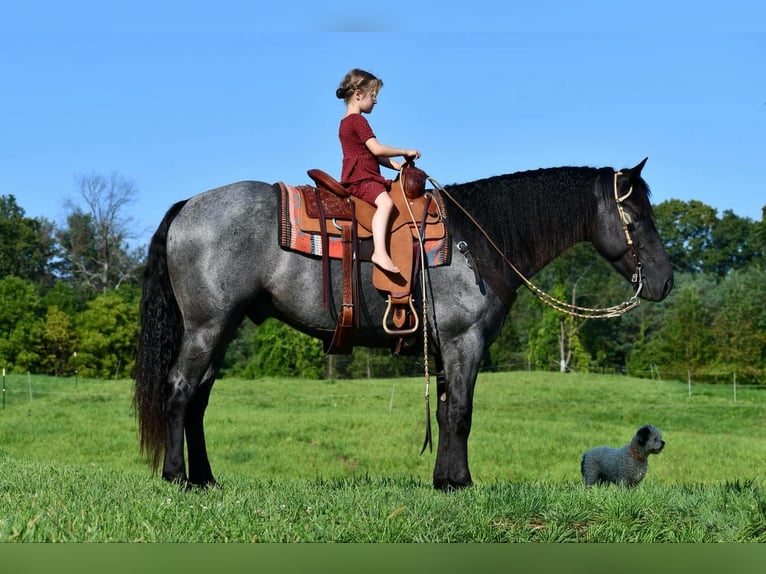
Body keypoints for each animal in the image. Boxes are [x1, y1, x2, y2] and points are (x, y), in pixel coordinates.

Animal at [135, 160, 676, 492]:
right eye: (635, 217)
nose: (666, 281)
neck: (478, 241)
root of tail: (188, 205)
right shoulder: (464, 343)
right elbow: (461, 413)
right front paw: (460, 482)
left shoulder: (445, 349)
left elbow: (443, 411)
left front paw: (443, 480)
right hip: (207, 326)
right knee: (180, 390)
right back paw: (177, 477)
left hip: (221, 328)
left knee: (199, 398)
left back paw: (206, 479)